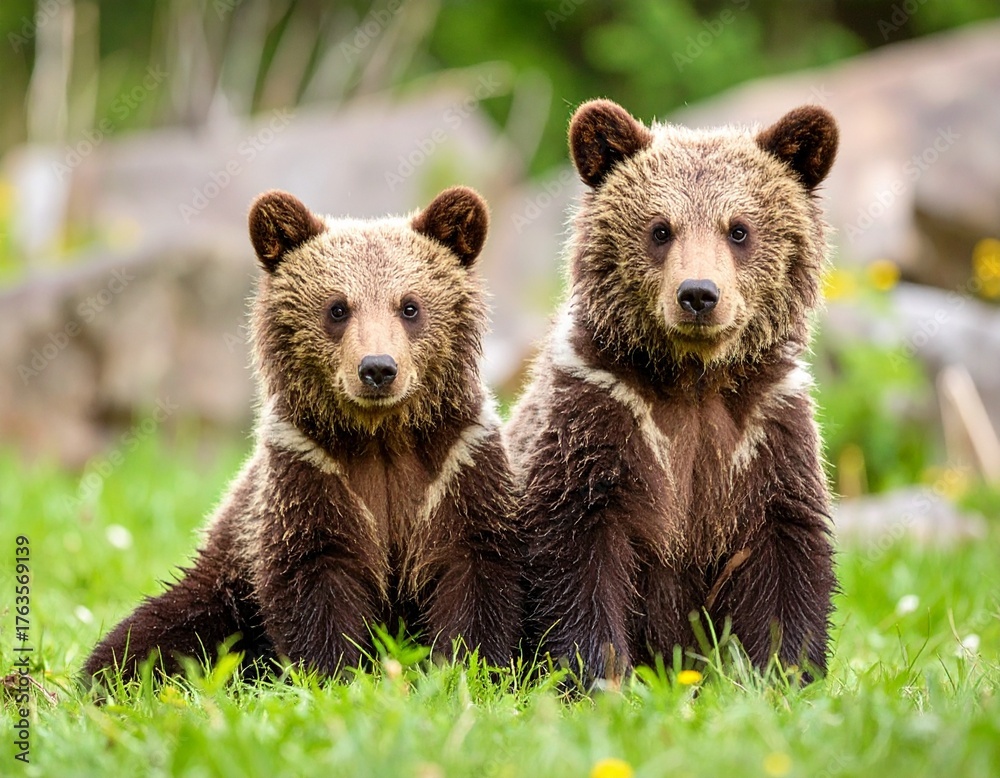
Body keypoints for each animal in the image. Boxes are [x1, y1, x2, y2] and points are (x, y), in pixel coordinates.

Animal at [83, 185, 524, 683]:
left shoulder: (457, 466)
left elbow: (472, 567)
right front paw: (336, 675)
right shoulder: (308, 470)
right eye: (338, 307)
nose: (377, 368)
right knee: (158, 629)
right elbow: (315, 576)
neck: (380, 435)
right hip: (225, 579)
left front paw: (465, 669)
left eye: (410, 306)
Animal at [505, 99, 839, 683]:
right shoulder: (600, 414)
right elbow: (578, 551)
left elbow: (785, 553)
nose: (699, 294)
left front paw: (787, 674)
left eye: (739, 229)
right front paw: (597, 673)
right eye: (660, 229)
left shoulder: (765, 430)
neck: (692, 381)